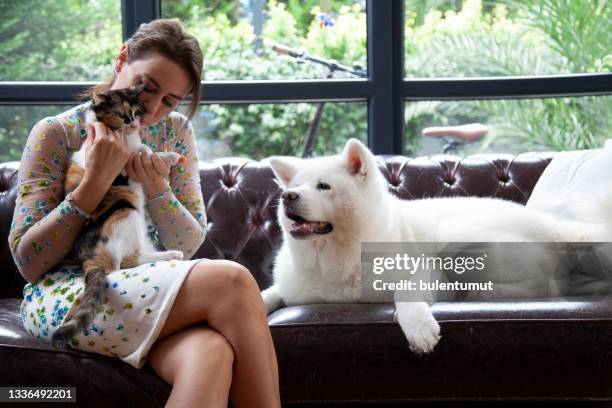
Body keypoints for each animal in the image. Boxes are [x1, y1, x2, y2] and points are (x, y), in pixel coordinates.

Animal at [50, 85, 184, 348]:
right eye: (122, 115)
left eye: (135, 111)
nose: (134, 123)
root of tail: (89, 259)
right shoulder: (118, 163)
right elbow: (145, 152)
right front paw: (169, 157)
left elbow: (145, 150)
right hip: (126, 212)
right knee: (125, 263)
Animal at [264, 139, 612, 352]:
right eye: (296, 186)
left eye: (324, 186)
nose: (287, 196)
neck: (334, 256)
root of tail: (553, 227)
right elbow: (268, 294)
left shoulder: (427, 271)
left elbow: (405, 291)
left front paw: (418, 327)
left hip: (458, 235)